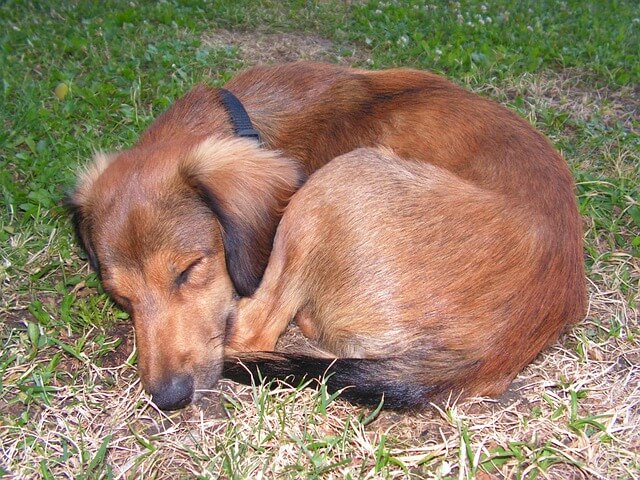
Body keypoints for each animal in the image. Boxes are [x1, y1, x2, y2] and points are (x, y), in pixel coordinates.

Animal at [69, 62, 584, 410]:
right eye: (119, 296)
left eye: (189, 270)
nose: (170, 398)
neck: (245, 122)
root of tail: (494, 350)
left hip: (336, 182)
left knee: (255, 330)